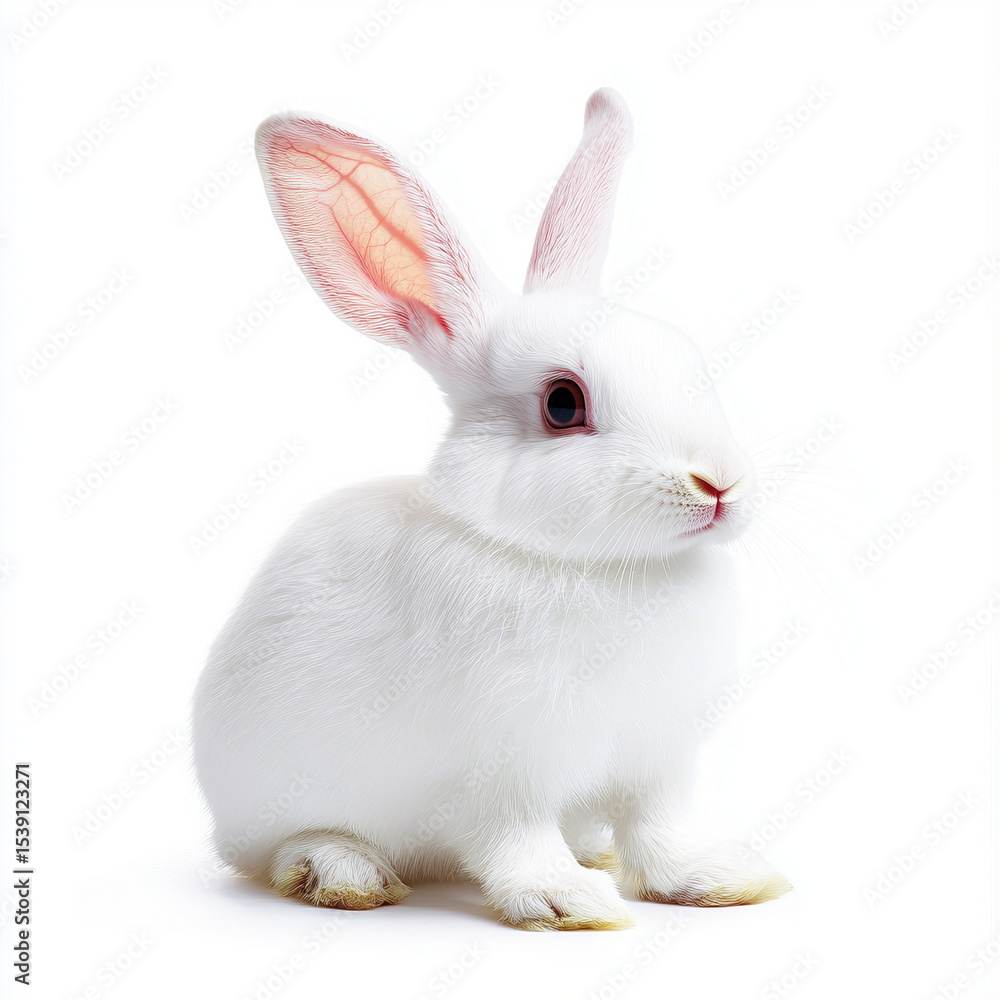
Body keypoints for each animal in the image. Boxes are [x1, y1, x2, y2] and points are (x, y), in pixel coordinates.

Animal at [192, 88, 791, 931]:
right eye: (563, 403)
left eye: (691, 364)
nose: (718, 483)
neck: (597, 566)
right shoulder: (502, 771)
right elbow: (515, 838)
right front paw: (567, 902)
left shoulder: (658, 761)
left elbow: (660, 830)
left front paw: (721, 879)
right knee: (285, 848)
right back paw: (344, 873)